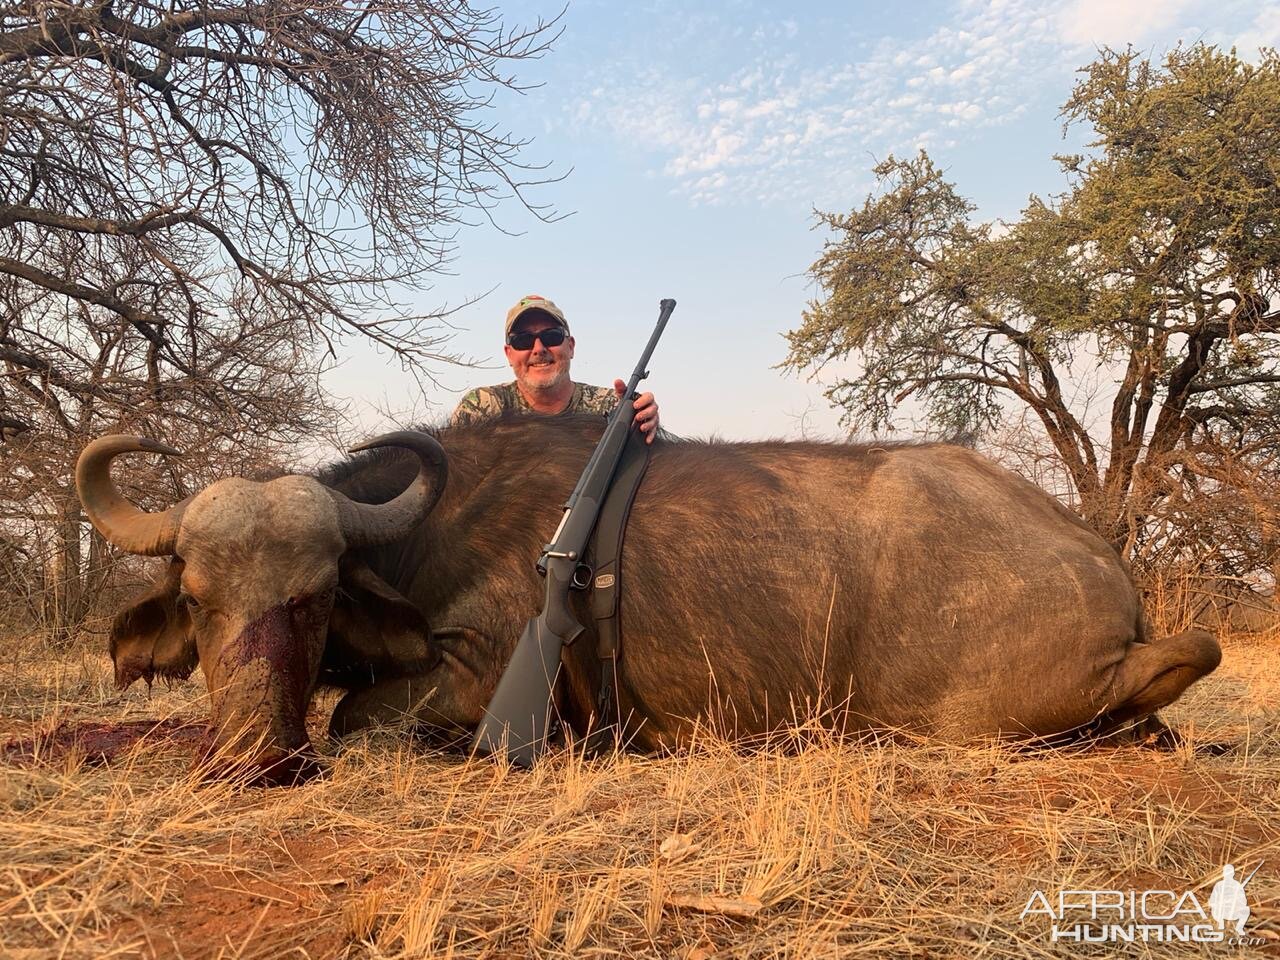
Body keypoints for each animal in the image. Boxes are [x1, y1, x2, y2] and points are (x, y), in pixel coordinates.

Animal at [77, 419, 1218, 783]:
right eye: (198, 597)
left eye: (315, 600)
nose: (253, 758)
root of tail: (1098, 557)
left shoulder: (472, 687)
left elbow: (360, 718)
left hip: (961, 715)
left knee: (1182, 662)